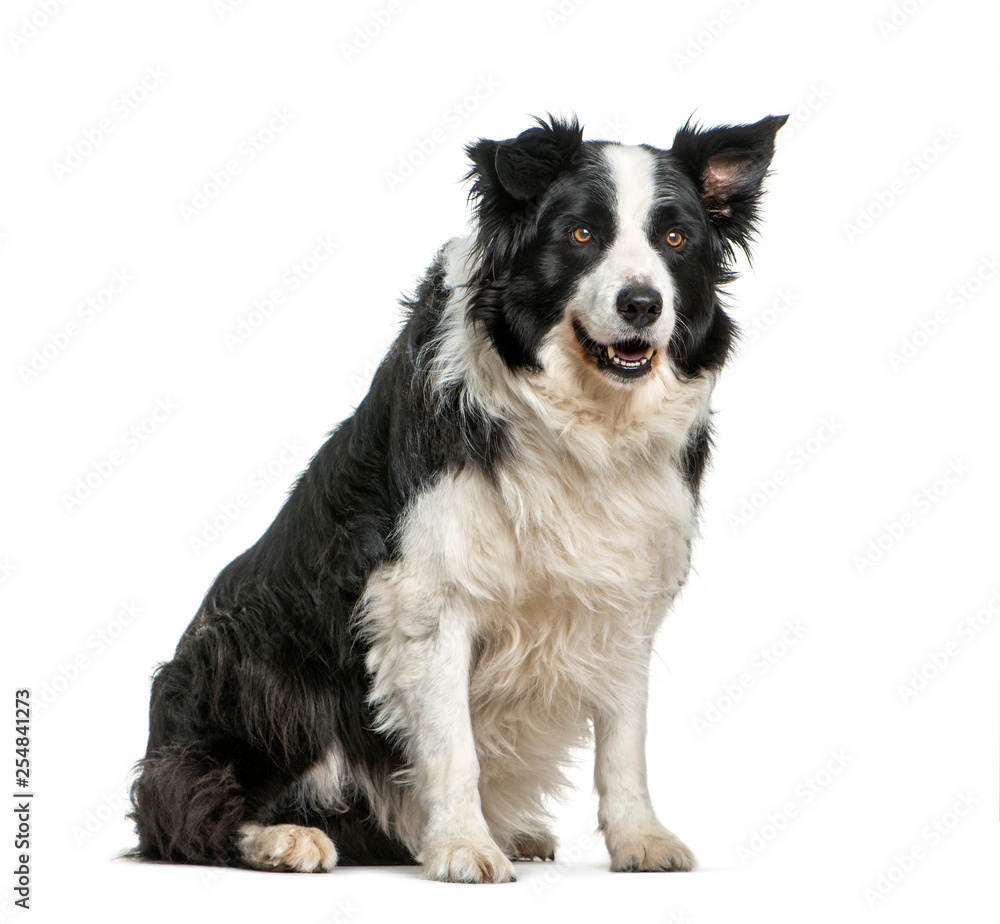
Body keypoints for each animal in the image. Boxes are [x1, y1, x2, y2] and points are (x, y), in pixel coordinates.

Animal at [131, 113, 788, 880]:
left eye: (676, 239)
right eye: (581, 234)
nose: (642, 304)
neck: (583, 421)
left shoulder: (621, 594)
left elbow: (625, 742)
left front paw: (640, 840)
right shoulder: (426, 596)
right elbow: (453, 746)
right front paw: (463, 847)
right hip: (253, 658)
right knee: (183, 808)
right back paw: (282, 838)